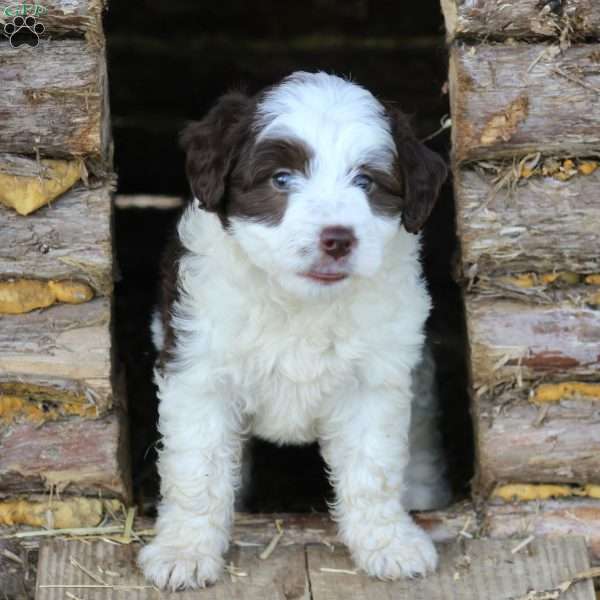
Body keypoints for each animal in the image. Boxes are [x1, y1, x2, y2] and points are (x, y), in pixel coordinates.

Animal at [139, 71, 450, 592]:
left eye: (366, 181)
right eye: (281, 179)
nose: (338, 238)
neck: (301, 303)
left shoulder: (375, 380)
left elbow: (374, 468)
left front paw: (388, 543)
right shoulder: (199, 373)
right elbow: (197, 469)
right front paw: (184, 551)